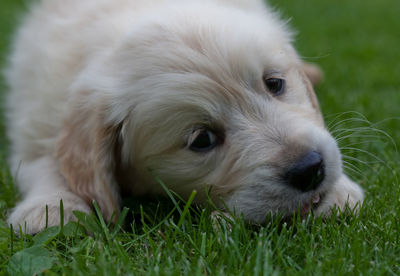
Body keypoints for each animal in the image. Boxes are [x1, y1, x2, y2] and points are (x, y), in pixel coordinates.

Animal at [5, 0, 362, 234]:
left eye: (275, 83)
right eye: (202, 139)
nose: (310, 169)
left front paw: (338, 192)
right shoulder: (36, 119)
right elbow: (46, 161)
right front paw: (52, 210)